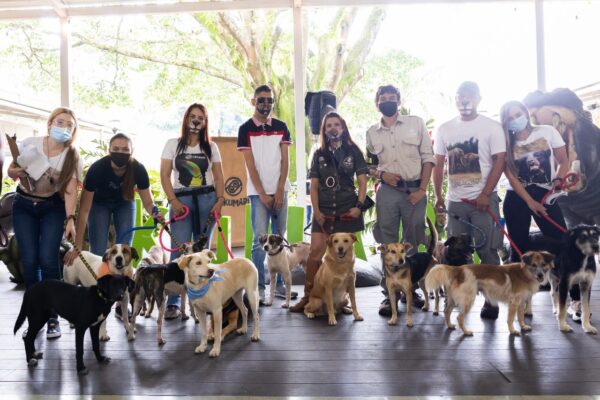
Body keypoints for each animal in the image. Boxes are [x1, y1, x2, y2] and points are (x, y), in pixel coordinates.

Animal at [424, 252, 556, 336]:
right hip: (468, 300)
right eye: (533, 265)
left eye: (543, 264)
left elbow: (521, 317)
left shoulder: (521, 302)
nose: (540, 275)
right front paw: (513, 331)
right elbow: (511, 319)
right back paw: (466, 332)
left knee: (447, 311)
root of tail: (458, 269)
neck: (524, 274)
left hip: (452, 300)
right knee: (459, 317)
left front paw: (523, 326)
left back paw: (450, 325)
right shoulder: (513, 303)